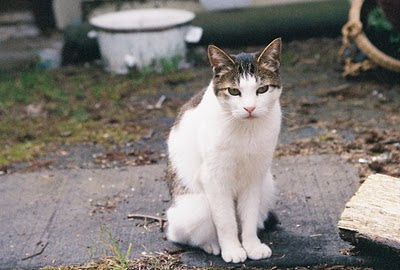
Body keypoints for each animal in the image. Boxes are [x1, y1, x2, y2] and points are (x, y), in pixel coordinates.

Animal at [165, 38, 282, 264]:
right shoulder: (214, 178)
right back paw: (212, 245)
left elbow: (249, 216)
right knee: (181, 234)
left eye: (262, 89)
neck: (245, 130)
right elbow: (226, 221)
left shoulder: (254, 176)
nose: (249, 108)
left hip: (267, 185)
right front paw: (233, 249)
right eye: (234, 91)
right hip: (195, 207)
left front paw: (251, 246)